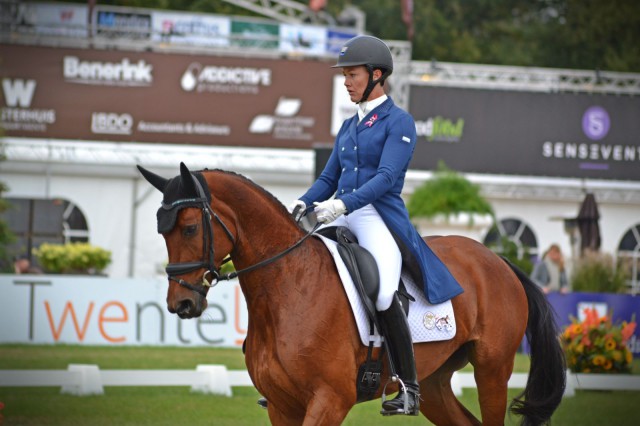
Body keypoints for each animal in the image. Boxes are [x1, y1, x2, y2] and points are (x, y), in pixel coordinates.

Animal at [138, 163, 564, 426]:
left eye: (190, 228)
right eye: (162, 231)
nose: (181, 303)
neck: (288, 289)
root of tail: (498, 260)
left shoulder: (330, 400)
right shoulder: (281, 406)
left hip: (492, 369)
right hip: (436, 383)